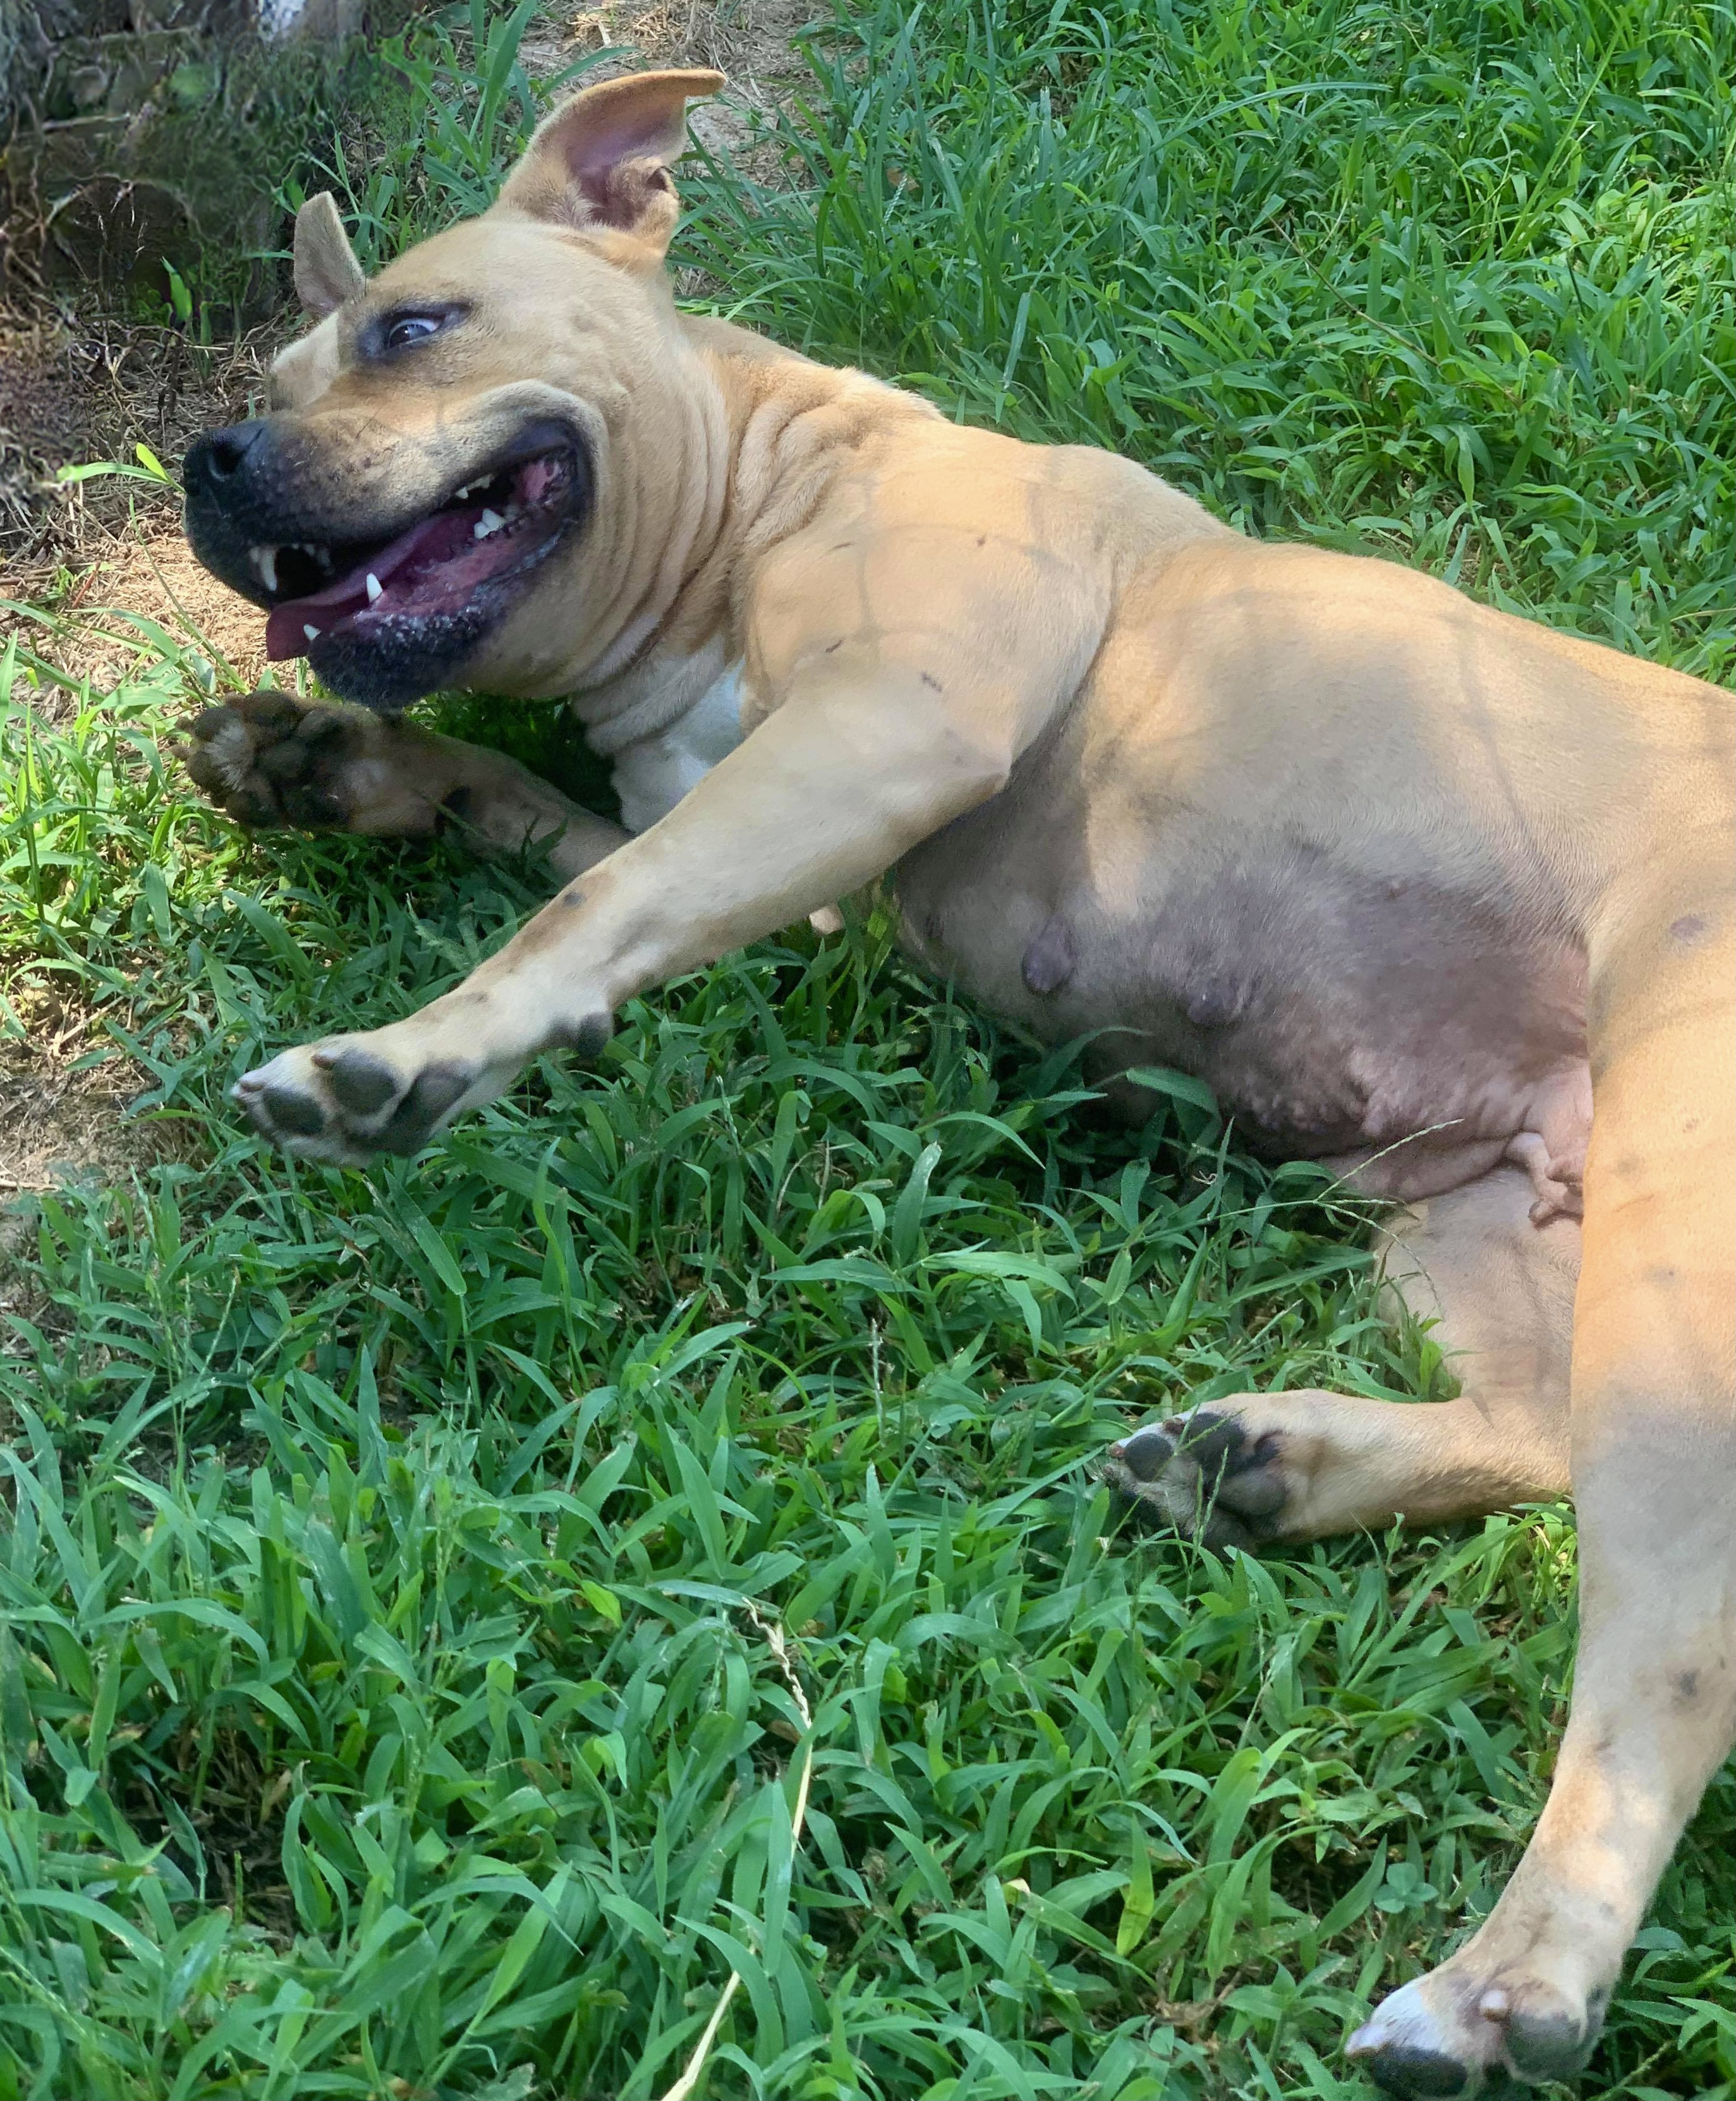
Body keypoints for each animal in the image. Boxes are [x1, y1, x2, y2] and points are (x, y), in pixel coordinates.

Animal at [183, 65, 1723, 2101]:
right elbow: (552, 833)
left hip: (1672, 1265)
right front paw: (332, 764)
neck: (760, 492)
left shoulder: (891, 720)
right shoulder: (792, 858)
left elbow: (592, 905)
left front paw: (403, 1057)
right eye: (276, 373)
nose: (208, 457)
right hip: (1474, 1227)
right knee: (1543, 1435)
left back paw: (1506, 1982)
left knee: (1667, 1649)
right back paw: (1273, 1465)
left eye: (414, 328)